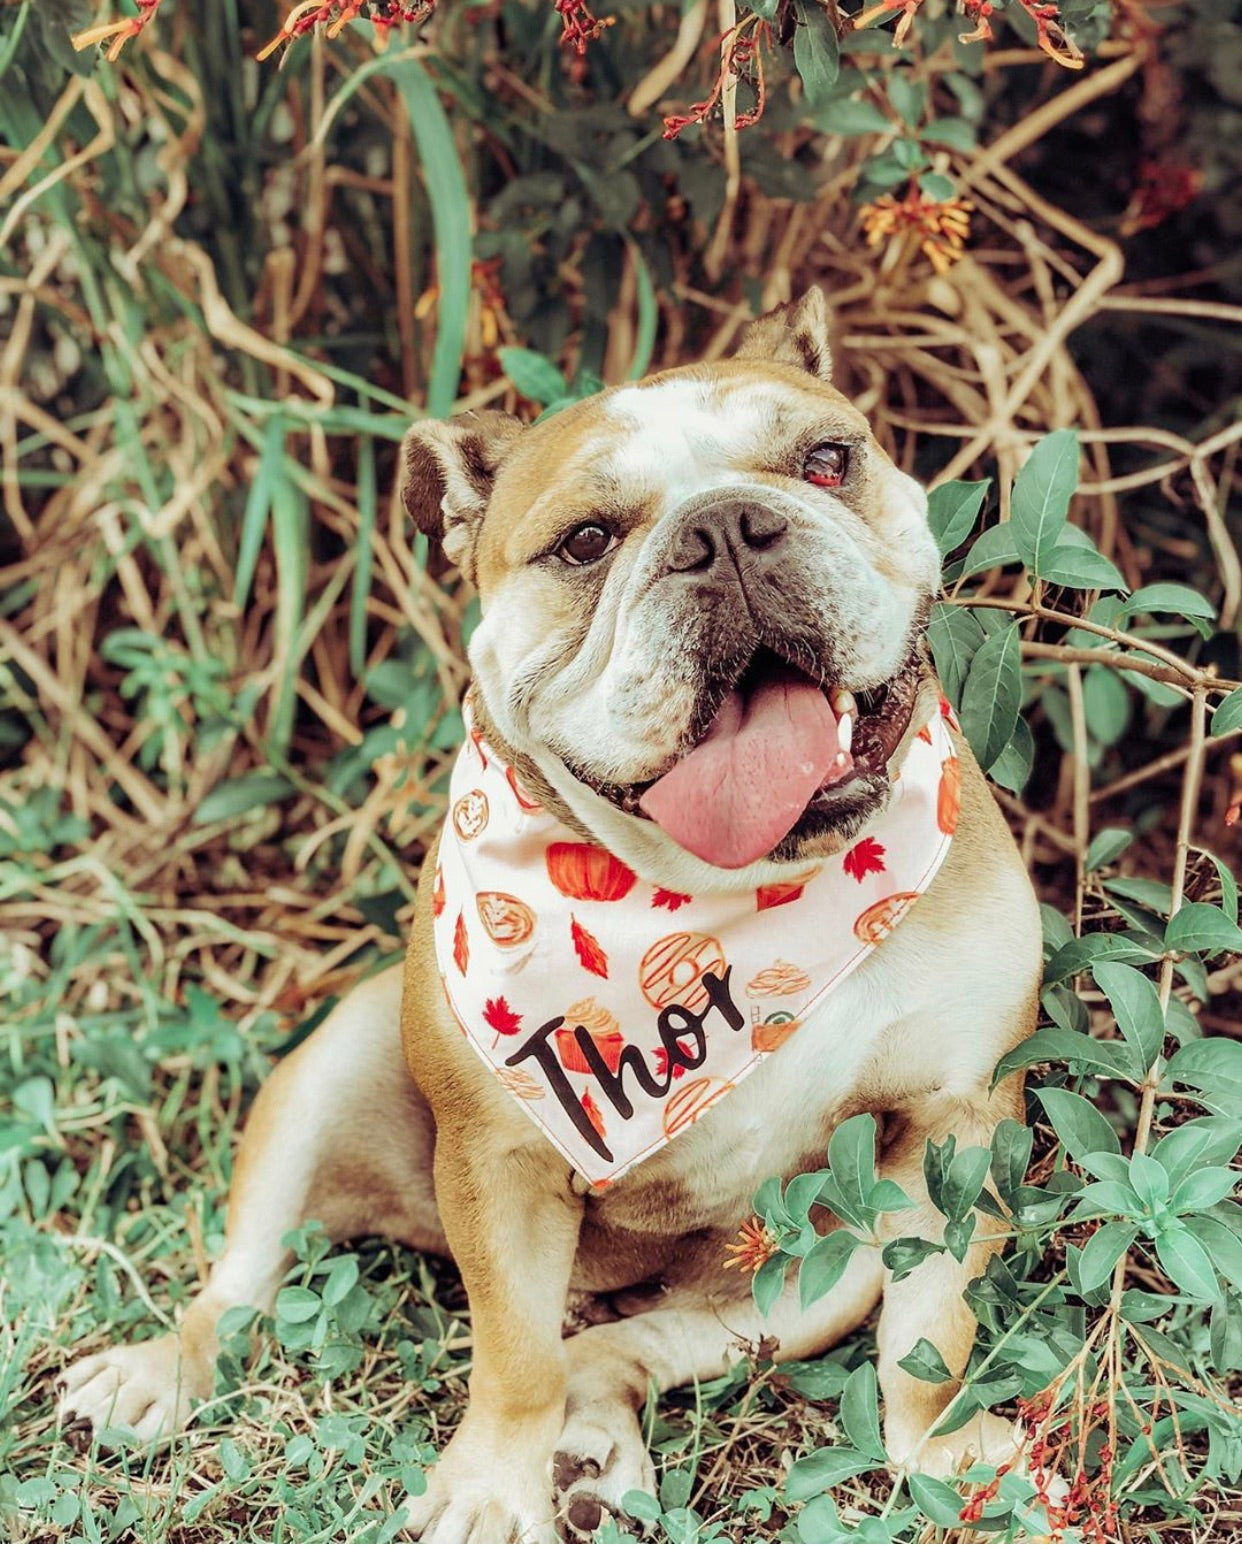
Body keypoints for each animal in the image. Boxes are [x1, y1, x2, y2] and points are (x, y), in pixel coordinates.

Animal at [62, 291, 1040, 1536]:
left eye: (828, 461)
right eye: (583, 543)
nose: (726, 529)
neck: (723, 901)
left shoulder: (960, 1120)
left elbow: (934, 1325)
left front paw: (942, 1448)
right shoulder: (503, 1162)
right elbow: (514, 1356)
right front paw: (488, 1493)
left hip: (816, 1267)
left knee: (626, 1346)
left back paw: (595, 1445)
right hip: (330, 1071)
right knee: (250, 1281)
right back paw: (161, 1370)